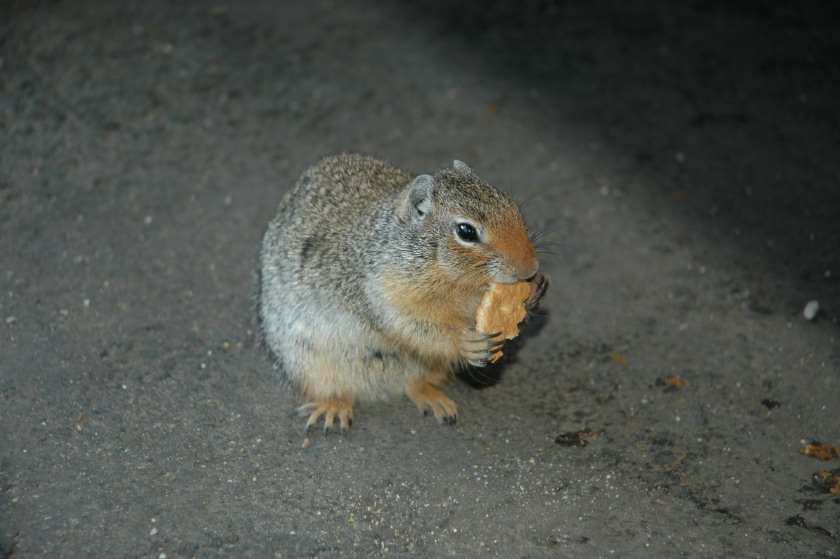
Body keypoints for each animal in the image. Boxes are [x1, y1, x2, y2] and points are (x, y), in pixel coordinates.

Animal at [256, 155, 548, 436]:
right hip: (309, 362)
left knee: (414, 384)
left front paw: (533, 292)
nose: (530, 268)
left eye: (512, 205)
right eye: (466, 231)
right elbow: (417, 329)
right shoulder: (385, 297)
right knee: (331, 388)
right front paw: (467, 343)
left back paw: (432, 399)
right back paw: (333, 407)